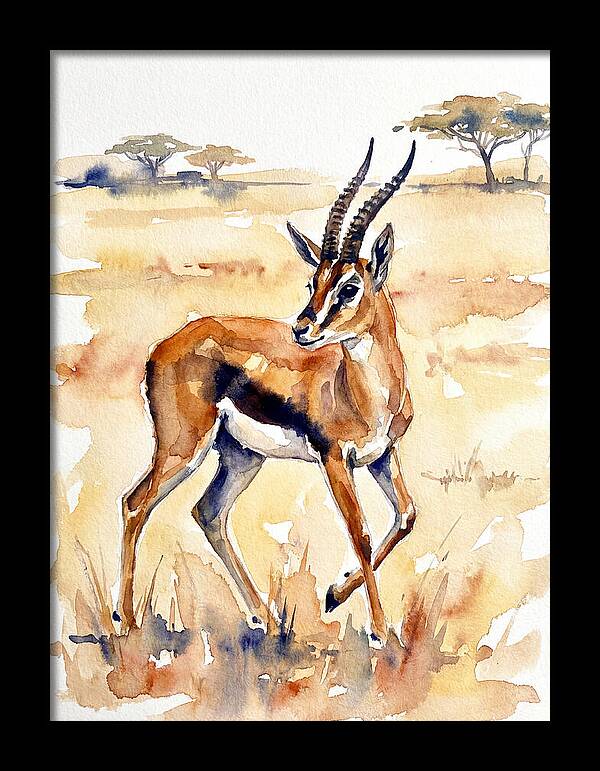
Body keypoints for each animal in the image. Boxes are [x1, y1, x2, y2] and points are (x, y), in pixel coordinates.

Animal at [118, 138, 417, 642]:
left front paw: (334, 595)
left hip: (241, 455)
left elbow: (406, 516)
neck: (367, 394)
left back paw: (268, 618)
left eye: (349, 286)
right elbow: (360, 532)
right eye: (313, 280)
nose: (302, 329)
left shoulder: (381, 455)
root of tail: (163, 346)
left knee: (209, 513)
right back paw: (125, 621)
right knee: (135, 504)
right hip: (183, 446)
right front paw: (379, 630)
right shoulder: (335, 459)